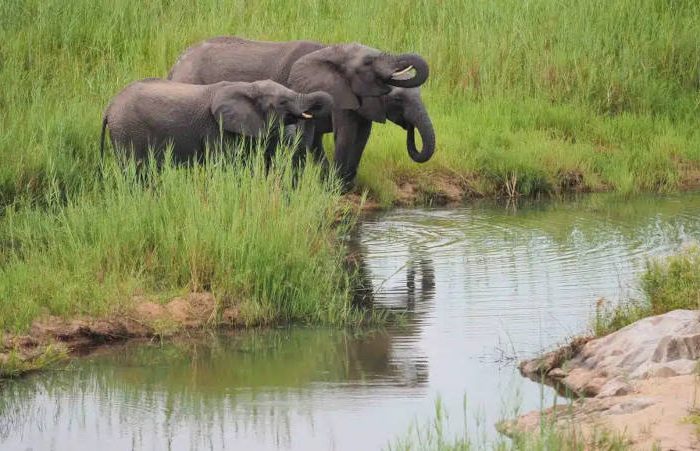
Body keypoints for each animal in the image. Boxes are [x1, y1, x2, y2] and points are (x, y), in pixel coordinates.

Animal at [167, 36, 434, 189]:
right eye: (397, 99)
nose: (409, 128)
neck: (333, 50)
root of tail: (176, 63)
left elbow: (360, 136)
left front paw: (343, 184)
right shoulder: (336, 93)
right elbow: (345, 135)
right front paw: (336, 187)